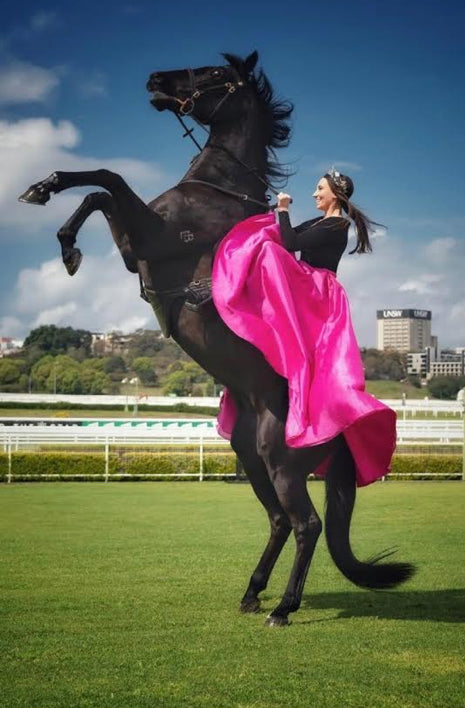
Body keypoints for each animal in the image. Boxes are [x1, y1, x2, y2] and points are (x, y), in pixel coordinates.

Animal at [19, 51, 414, 624]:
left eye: (212, 74)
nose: (154, 81)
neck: (216, 190)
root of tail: (339, 427)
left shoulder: (152, 238)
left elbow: (108, 176)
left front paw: (59, 229)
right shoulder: (133, 247)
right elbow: (99, 189)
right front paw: (50, 206)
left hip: (281, 459)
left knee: (307, 524)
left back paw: (282, 608)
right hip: (248, 455)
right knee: (280, 520)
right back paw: (252, 593)